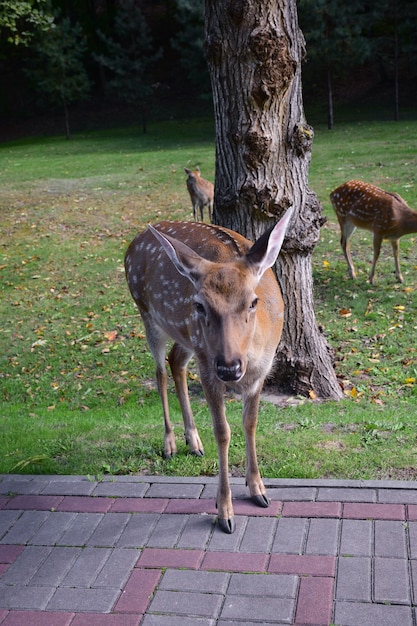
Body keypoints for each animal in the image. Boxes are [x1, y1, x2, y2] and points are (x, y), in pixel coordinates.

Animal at [123, 210, 292, 532]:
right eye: (200, 305)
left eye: (253, 301)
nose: (229, 366)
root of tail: (135, 240)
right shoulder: (208, 367)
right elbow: (223, 431)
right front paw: (225, 511)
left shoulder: (261, 372)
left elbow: (251, 423)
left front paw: (258, 489)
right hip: (150, 315)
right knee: (160, 370)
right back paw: (170, 443)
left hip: (188, 338)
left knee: (175, 361)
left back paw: (193, 441)